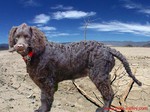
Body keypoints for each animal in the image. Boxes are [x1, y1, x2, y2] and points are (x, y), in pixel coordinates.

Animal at [8, 23, 142, 111]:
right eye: (17, 37)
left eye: (27, 36)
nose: (19, 46)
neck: (36, 53)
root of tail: (108, 48)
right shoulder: (46, 83)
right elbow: (44, 98)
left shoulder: (47, 82)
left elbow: (45, 99)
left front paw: (43, 109)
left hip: (99, 75)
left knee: (109, 94)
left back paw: (103, 109)